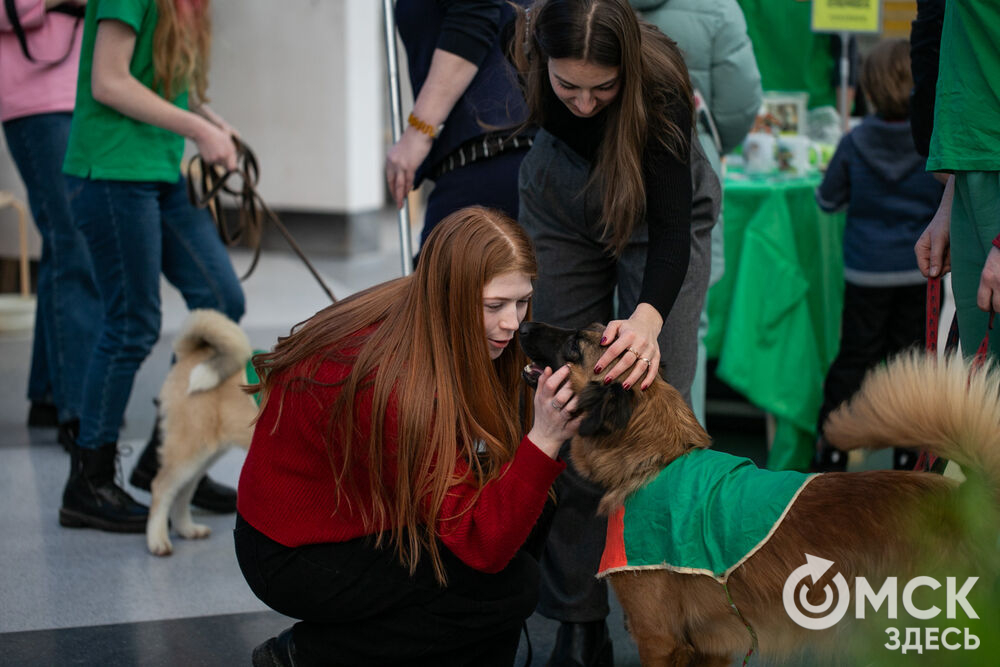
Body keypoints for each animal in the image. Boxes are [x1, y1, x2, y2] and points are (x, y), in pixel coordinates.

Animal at [148, 310, 260, 556]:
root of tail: (194, 353)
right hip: (189, 449)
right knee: (161, 487)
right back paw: (157, 540)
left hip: (205, 454)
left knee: (183, 491)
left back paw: (187, 529)